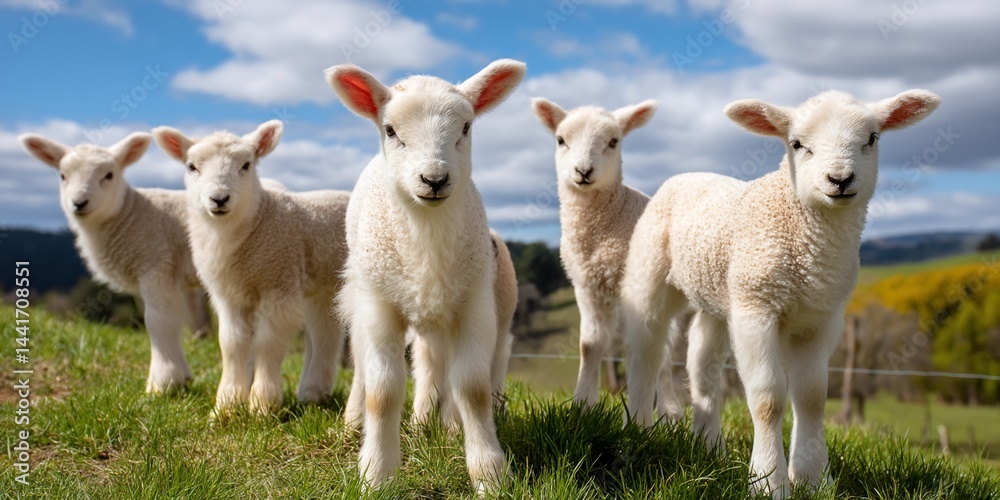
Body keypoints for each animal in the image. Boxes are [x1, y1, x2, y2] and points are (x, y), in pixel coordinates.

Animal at [18, 132, 198, 393]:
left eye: (109, 175)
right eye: (62, 176)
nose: (79, 202)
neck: (131, 213)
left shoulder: (156, 262)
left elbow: (158, 321)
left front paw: (162, 384)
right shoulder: (171, 273)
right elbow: (173, 321)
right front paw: (181, 377)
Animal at [151, 120, 350, 413]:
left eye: (246, 165)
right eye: (191, 167)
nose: (219, 199)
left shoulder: (279, 282)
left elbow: (267, 343)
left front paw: (262, 406)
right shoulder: (229, 297)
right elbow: (231, 343)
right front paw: (227, 405)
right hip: (323, 286)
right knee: (325, 334)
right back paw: (313, 393)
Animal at [325, 59, 525, 492]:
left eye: (466, 127)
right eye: (390, 130)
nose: (434, 179)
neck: (427, 239)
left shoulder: (473, 305)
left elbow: (472, 388)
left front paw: (488, 475)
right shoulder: (380, 308)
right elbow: (383, 392)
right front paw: (377, 475)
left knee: (433, 363)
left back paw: (432, 424)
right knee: (365, 366)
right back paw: (356, 422)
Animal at [531, 98, 681, 418]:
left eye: (614, 142)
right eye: (560, 140)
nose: (583, 171)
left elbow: (642, 349)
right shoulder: (586, 284)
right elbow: (590, 344)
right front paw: (581, 405)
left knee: (664, 350)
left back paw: (669, 411)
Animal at [621, 89, 940, 497]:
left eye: (871, 138)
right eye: (797, 144)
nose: (840, 179)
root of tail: (688, 175)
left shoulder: (821, 317)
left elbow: (812, 397)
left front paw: (812, 478)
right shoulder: (757, 308)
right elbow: (768, 399)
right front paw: (768, 482)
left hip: (722, 292)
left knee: (703, 365)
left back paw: (710, 446)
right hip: (650, 273)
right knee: (644, 351)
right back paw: (640, 428)